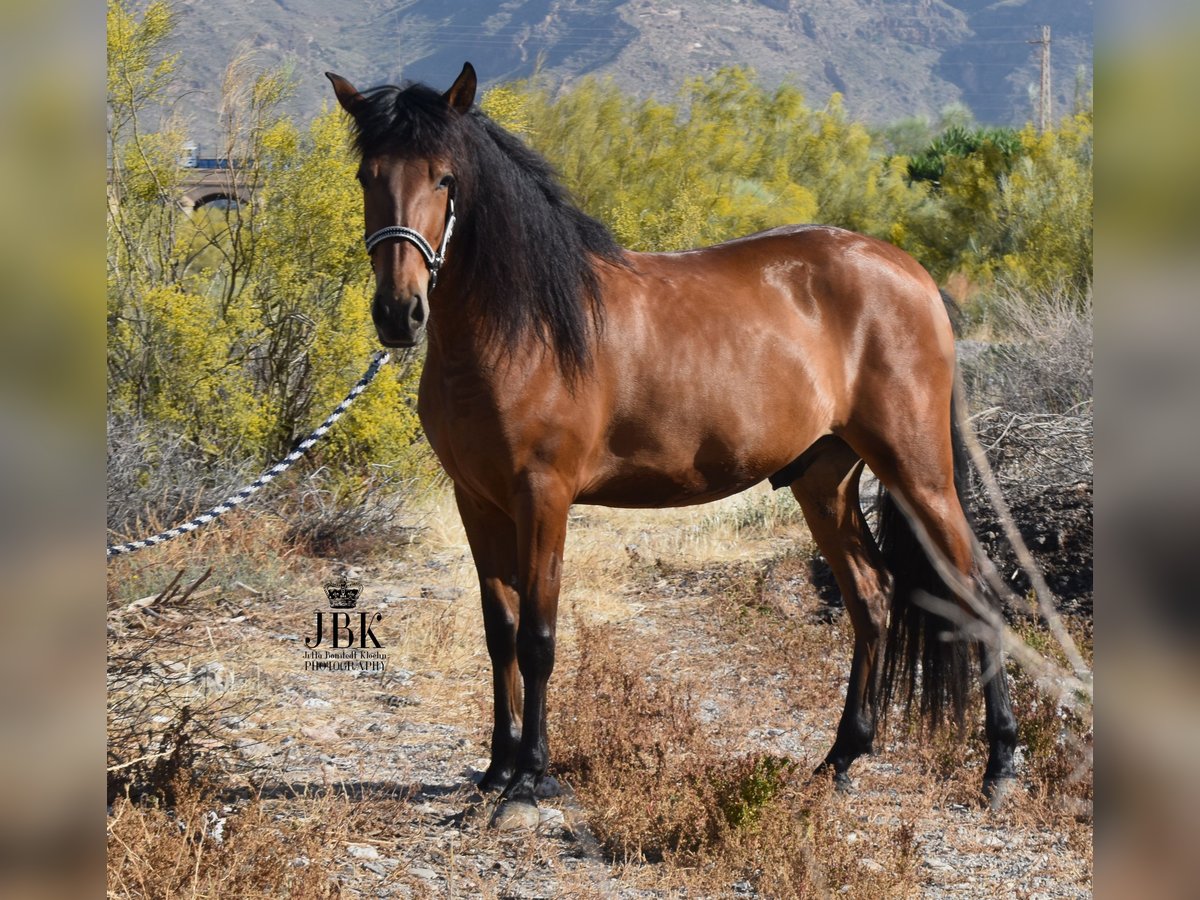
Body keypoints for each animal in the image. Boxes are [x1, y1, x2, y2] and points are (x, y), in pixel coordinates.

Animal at [326, 63, 1012, 830]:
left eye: (444, 177)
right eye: (366, 175)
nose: (398, 313)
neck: (525, 326)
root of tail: (916, 275)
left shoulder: (543, 497)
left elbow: (537, 637)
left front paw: (531, 779)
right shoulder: (477, 501)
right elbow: (499, 630)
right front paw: (496, 770)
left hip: (919, 473)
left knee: (980, 592)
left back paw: (999, 767)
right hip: (823, 479)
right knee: (872, 596)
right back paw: (840, 759)